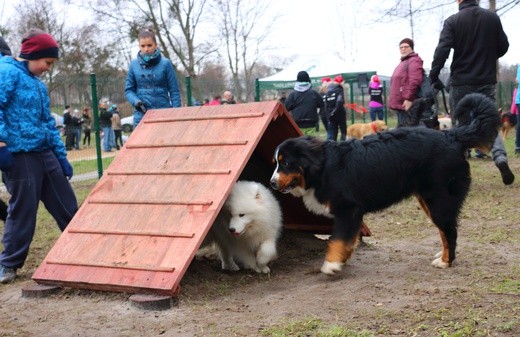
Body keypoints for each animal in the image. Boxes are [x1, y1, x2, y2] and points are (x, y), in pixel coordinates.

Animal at [268, 92, 500, 272]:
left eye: (285, 163)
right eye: (275, 162)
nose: (271, 183)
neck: (323, 168)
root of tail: (451, 135)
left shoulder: (348, 210)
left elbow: (337, 239)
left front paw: (332, 264)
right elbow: (346, 240)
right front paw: (342, 258)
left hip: (439, 200)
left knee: (449, 230)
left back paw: (445, 261)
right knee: (445, 231)